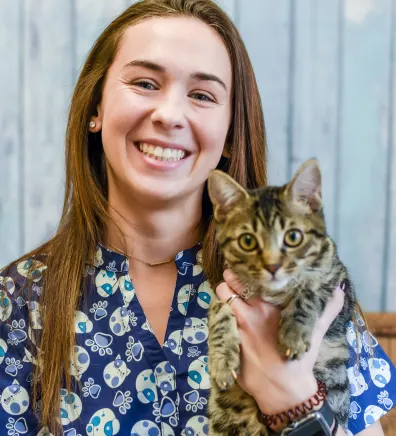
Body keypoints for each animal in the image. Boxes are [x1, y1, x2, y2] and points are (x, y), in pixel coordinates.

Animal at [207, 158, 356, 434]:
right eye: (247, 241)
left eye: (293, 237)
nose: (273, 266)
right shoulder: (224, 288)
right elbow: (218, 312)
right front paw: (222, 361)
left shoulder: (336, 276)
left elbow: (308, 288)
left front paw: (293, 334)